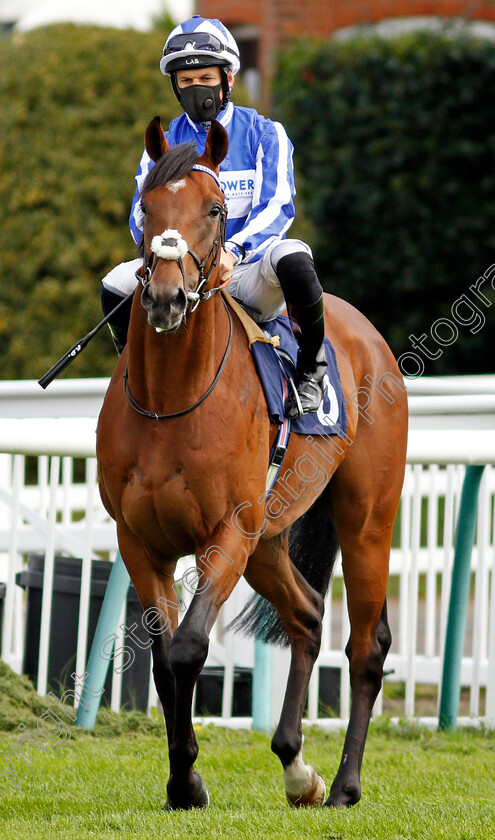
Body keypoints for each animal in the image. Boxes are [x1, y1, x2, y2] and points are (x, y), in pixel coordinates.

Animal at [96, 116, 406, 808]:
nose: (165, 296)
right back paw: (297, 766)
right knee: (308, 617)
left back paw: (343, 784)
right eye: (147, 207)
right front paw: (182, 780)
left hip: (365, 520)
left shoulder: (226, 532)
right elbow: (163, 660)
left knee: (366, 646)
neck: (172, 402)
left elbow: (188, 648)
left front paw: (188, 778)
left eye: (215, 208)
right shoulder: (141, 542)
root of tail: (366, 332)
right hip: (269, 540)